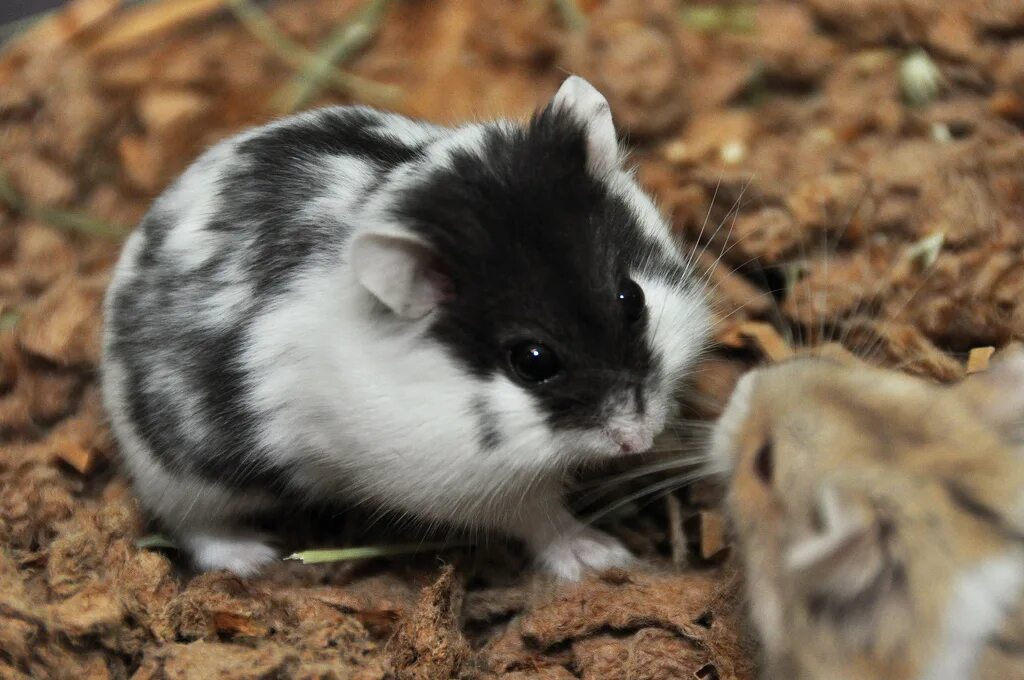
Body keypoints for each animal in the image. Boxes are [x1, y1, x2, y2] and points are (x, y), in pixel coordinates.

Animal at [101, 76, 712, 581]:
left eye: (631, 298)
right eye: (532, 361)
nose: (639, 438)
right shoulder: (473, 487)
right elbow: (541, 517)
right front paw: (604, 558)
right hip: (183, 480)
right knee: (193, 526)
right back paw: (254, 558)